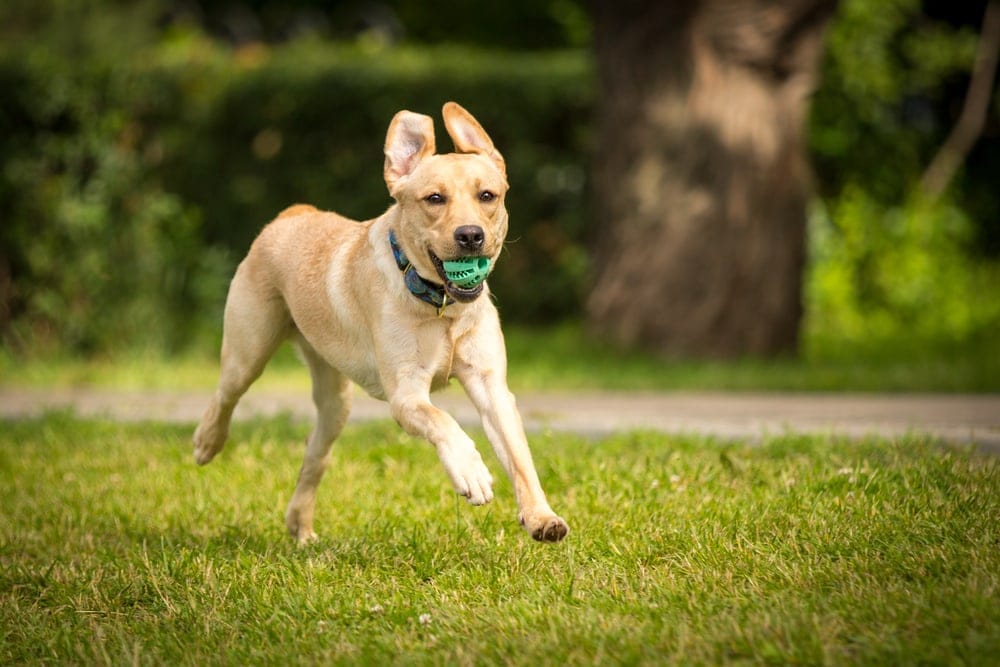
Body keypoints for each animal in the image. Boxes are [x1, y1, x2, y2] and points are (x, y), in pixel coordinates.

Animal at [193, 103, 572, 544]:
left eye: (487, 196)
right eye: (434, 198)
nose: (471, 235)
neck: (441, 309)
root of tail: (293, 213)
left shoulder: (491, 385)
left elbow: (518, 455)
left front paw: (541, 517)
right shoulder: (405, 394)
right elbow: (443, 420)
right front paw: (471, 472)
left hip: (335, 400)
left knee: (314, 456)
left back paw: (300, 527)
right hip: (248, 348)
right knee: (225, 395)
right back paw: (206, 443)